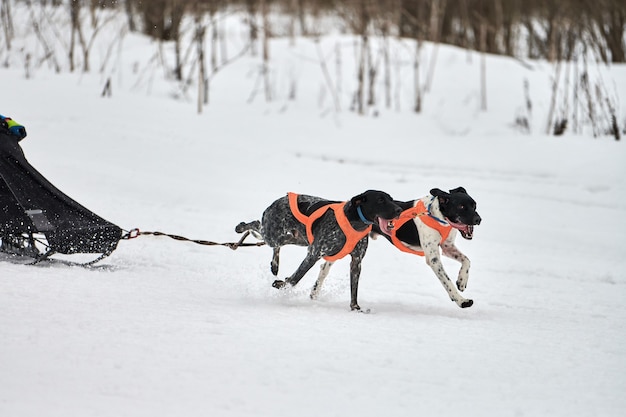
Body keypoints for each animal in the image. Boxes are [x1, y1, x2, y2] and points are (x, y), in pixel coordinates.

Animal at [234, 190, 400, 310]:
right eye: (380, 200)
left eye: (391, 199)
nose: (399, 210)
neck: (354, 221)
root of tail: (279, 200)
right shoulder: (314, 254)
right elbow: (295, 278)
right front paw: (282, 285)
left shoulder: (356, 262)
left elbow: (354, 289)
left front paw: (355, 308)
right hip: (272, 235)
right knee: (256, 224)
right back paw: (241, 227)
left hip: (295, 239)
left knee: (277, 244)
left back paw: (275, 265)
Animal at [310, 187, 480, 308]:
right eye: (461, 206)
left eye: (474, 205)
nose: (479, 219)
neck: (435, 214)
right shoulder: (433, 259)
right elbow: (447, 282)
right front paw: (461, 300)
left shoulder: (447, 247)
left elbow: (467, 260)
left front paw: (462, 281)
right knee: (325, 266)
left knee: (324, 267)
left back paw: (314, 293)